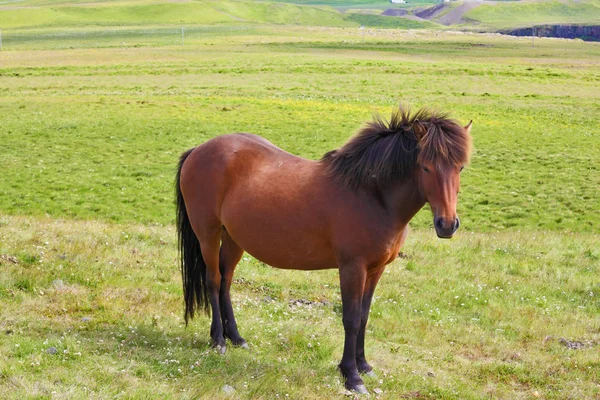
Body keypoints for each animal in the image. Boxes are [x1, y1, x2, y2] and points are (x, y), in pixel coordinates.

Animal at [176, 104, 472, 394]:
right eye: (426, 167)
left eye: (460, 168)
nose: (447, 224)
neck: (371, 195)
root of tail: (198, 150)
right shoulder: (352, 268)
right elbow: (351, 318)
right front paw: (351, 376)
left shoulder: (375, 270)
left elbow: (364, 316)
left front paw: (363, 365)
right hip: (208, 234)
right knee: (214, 281)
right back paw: (218, 340)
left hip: (234, 239)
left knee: (226, 281)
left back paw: (236, 338)